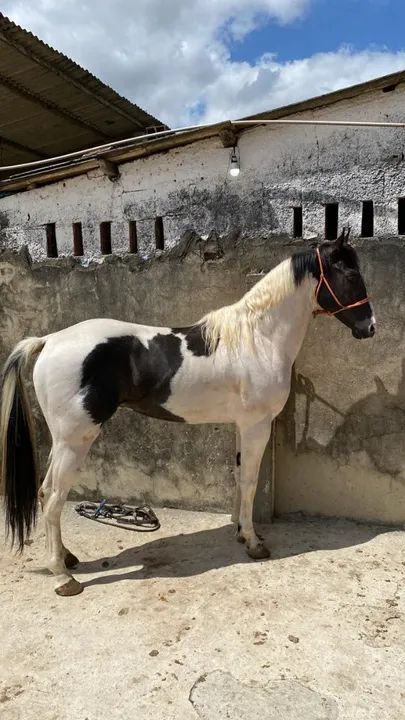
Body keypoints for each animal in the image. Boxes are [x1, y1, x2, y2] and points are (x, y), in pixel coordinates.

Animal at [0, 228, 375, 596]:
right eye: (351, 275)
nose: (369, 328)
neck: (258, 340)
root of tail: (48, 340)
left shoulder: (242, 426)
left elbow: (239, 477)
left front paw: (240, 532)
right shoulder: (257, 426)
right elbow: (251, 481)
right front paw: (254, 543)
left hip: (63, 441)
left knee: (46, 493)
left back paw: (67, 558)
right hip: (75, 441)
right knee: (53, 498)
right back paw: (63, 577)